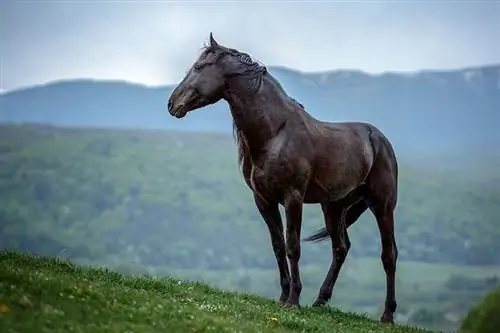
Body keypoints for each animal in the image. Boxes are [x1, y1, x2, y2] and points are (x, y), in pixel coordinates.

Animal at [167, 32, 398, 322]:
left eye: (199, 67)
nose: (172, 104)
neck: (274, 134)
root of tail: (378, 138)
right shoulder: (264, 200)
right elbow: (278, 246)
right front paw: (282, 296)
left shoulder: (293, 198)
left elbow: (292, 246)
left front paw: (294, 300)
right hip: (334, 207)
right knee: (340, 248)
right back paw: (320, 301)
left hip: (383, 205)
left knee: (389, 255)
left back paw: (387, 315)